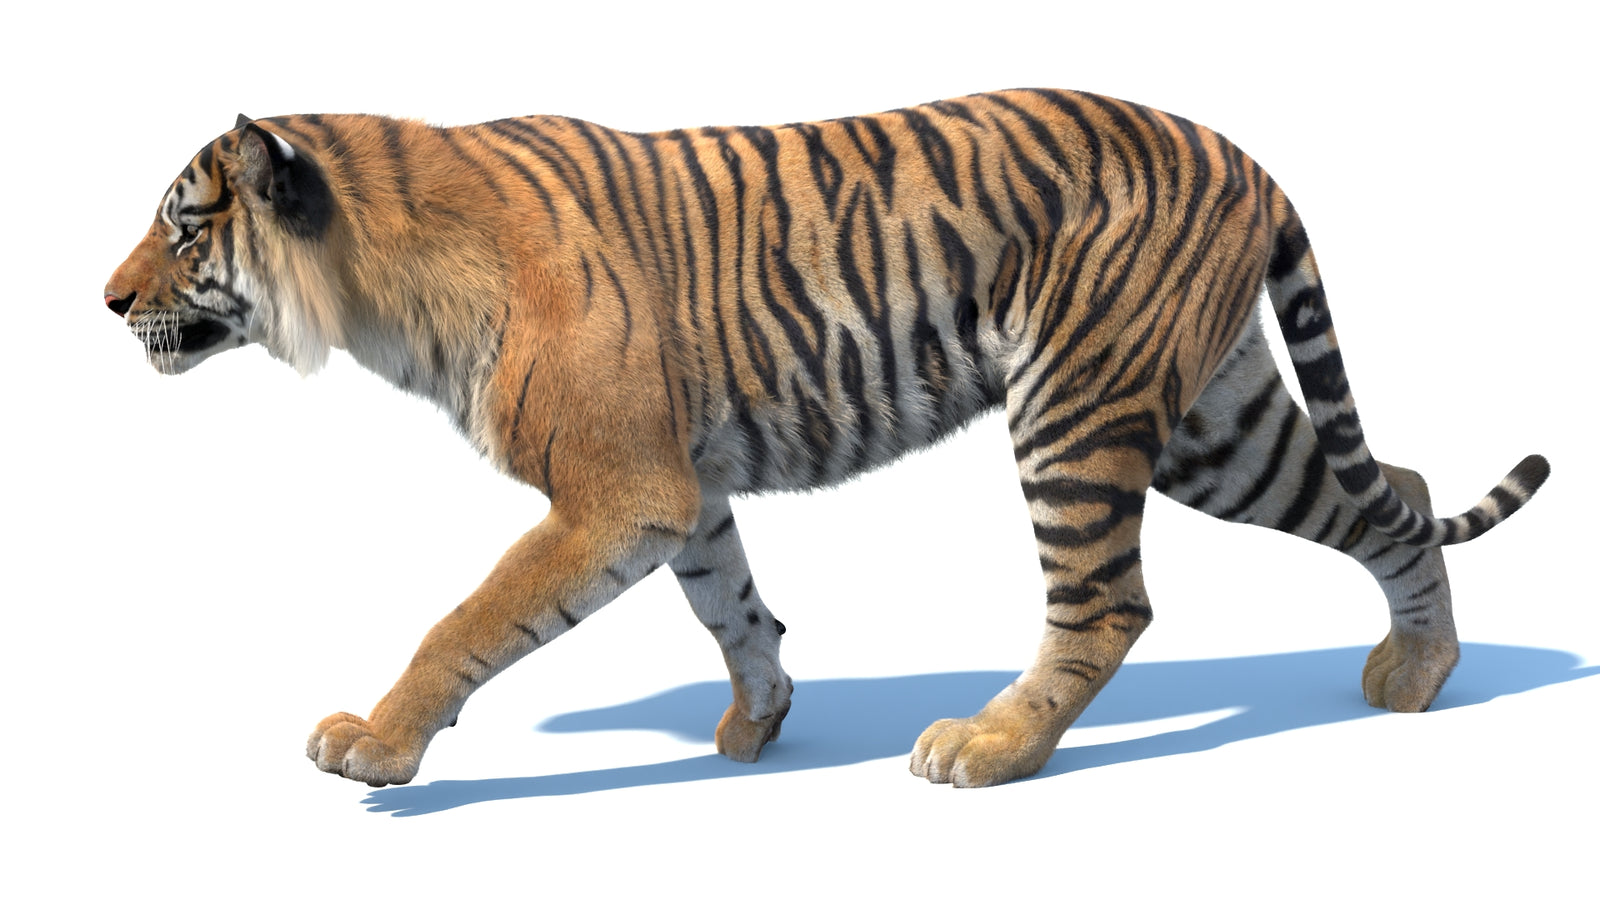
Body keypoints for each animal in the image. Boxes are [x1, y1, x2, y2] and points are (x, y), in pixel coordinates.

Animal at [105, 90, 1549, 789]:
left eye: (182, 225)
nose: (107, 301)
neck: (376, 282)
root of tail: (1246, 156)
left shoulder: (614, 490)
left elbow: (467, 618)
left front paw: (377, 745)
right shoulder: (680, 489)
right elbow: (732, 604)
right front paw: (761, 719)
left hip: (1079, 408)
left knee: (1108, 602)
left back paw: (991, 750)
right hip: (1211, 419)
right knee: (1393, 488)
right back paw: (1420, 674)